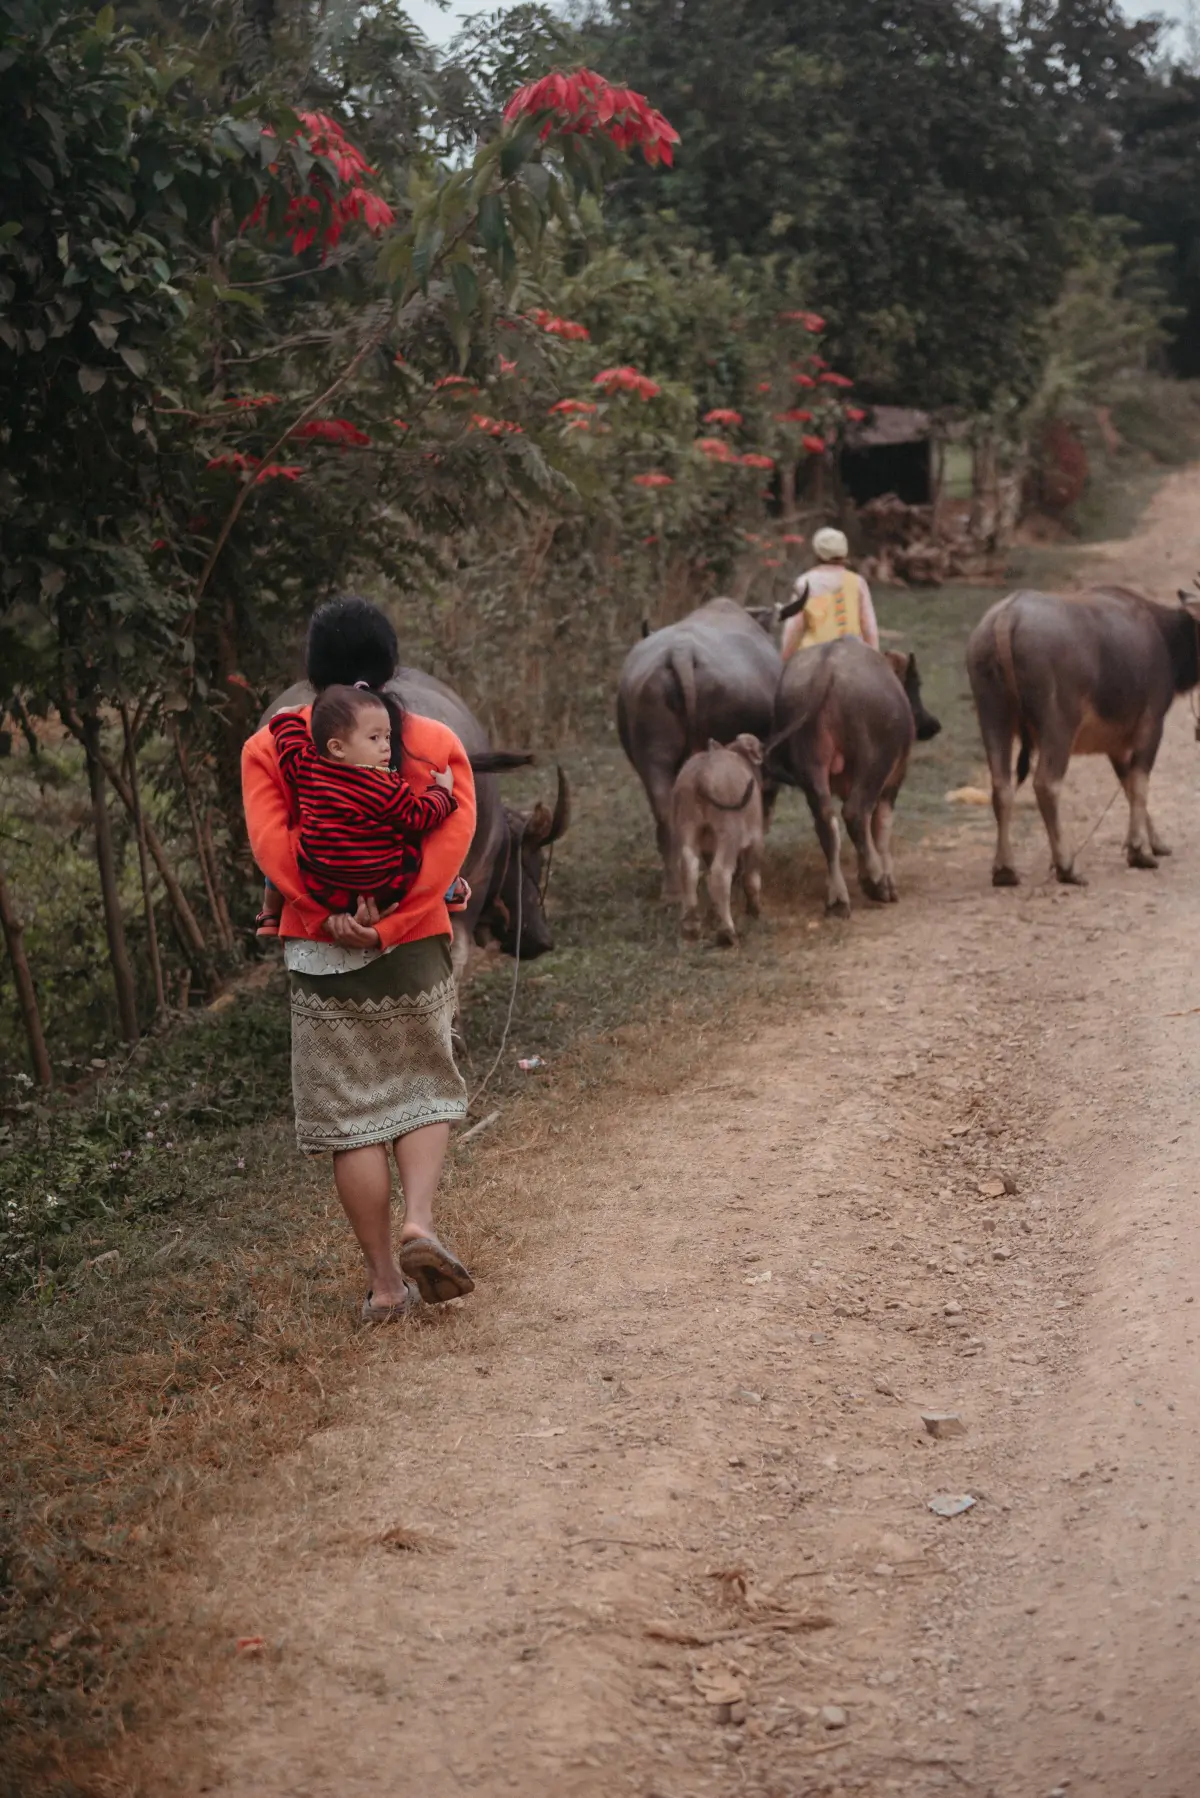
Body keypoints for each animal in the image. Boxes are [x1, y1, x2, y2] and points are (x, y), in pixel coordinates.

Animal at [964, 589, 1200, 884]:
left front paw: (1156, 843)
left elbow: (1128, 786)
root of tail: (1007, 617)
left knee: (1001, 787)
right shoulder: (1151, 724)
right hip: (1058, 724)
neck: (1166, 638)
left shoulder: (1116, 746)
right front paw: (1139, 852)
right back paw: (1066, 866)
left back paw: (1005, 869)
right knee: (1046, 784)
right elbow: (1139, 784)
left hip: (992, 716)